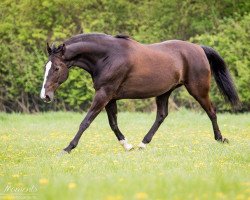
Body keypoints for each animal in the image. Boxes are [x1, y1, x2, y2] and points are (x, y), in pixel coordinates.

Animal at [40, 33, 239, 154]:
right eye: (46, 67)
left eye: (57, 68)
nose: (45, 96)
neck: (107, 57)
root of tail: (198, 48)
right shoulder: (109, 97)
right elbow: (113, 124)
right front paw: (127, 146)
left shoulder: (104, 94)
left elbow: (85, 122)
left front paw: (67, 148)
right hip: (165, 92)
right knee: (161, 115)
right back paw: (143, 143)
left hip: (198, 89)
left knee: (211, 111)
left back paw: (220, 139)